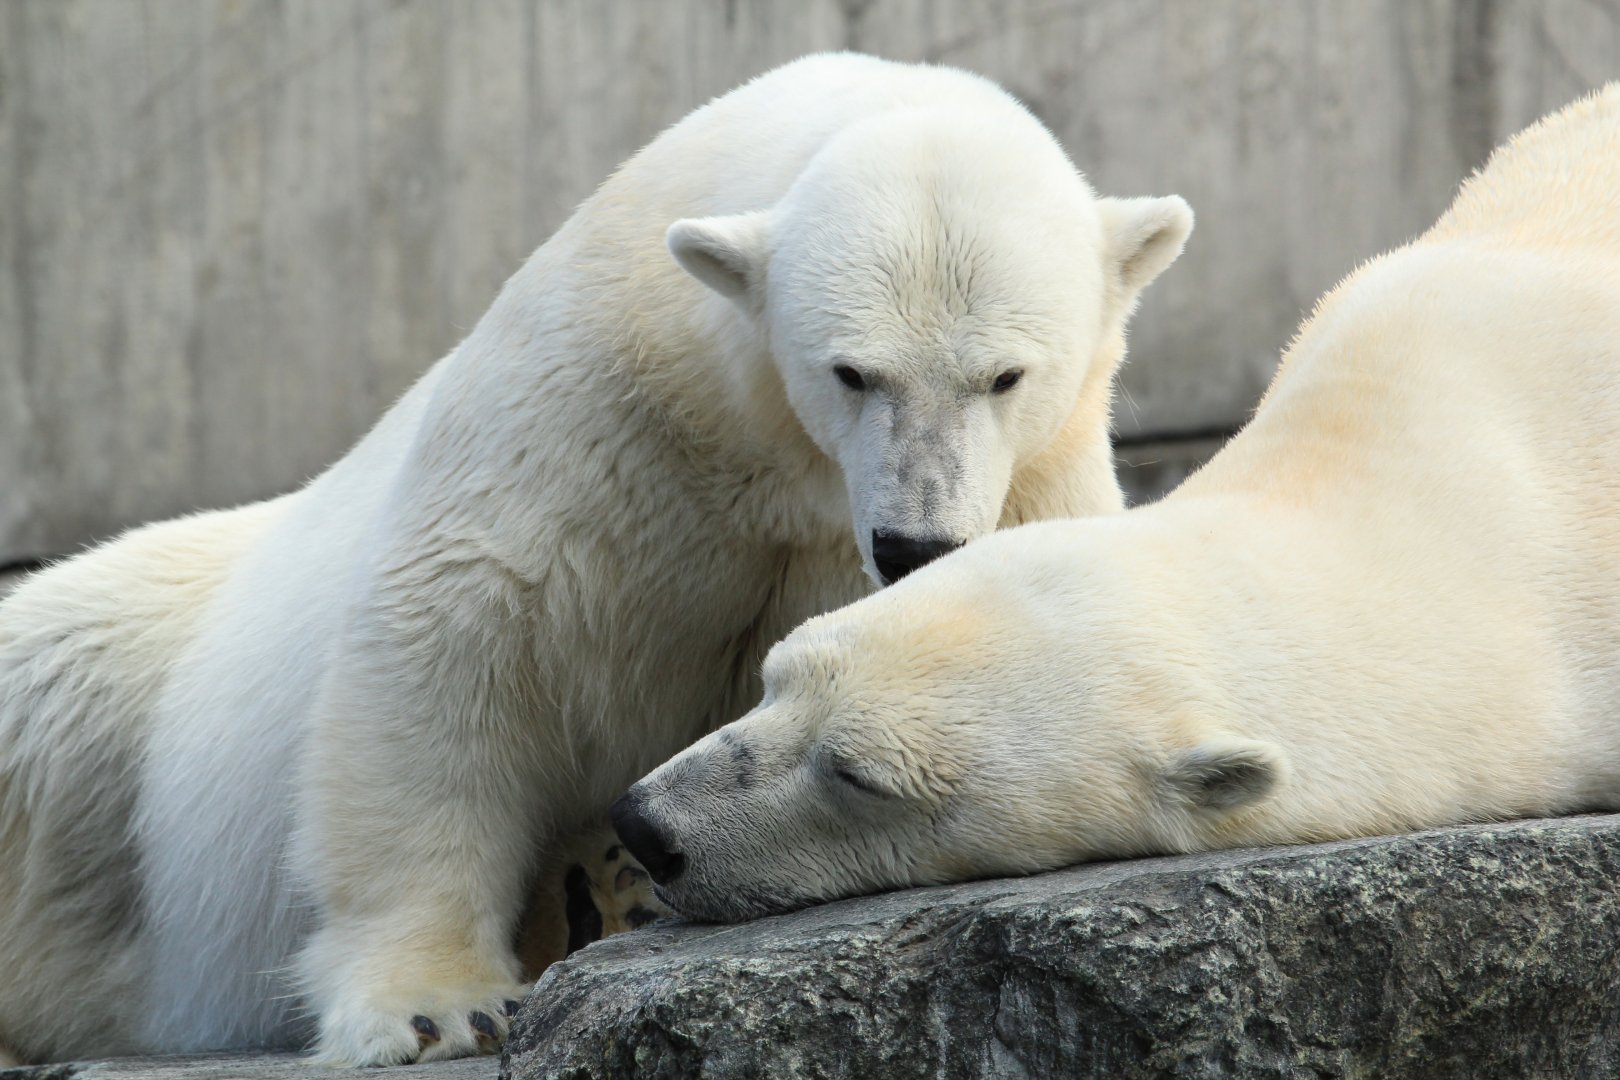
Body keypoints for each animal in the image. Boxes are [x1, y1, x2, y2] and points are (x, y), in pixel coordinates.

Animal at [0, 52, 1194, 1065]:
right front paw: (438, 1005)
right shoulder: (597, 407)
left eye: (1006, 376)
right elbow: (453, 638)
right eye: (851, 372)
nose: (915, 542)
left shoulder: (1035, 482)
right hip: (116, 677)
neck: (766, 454)